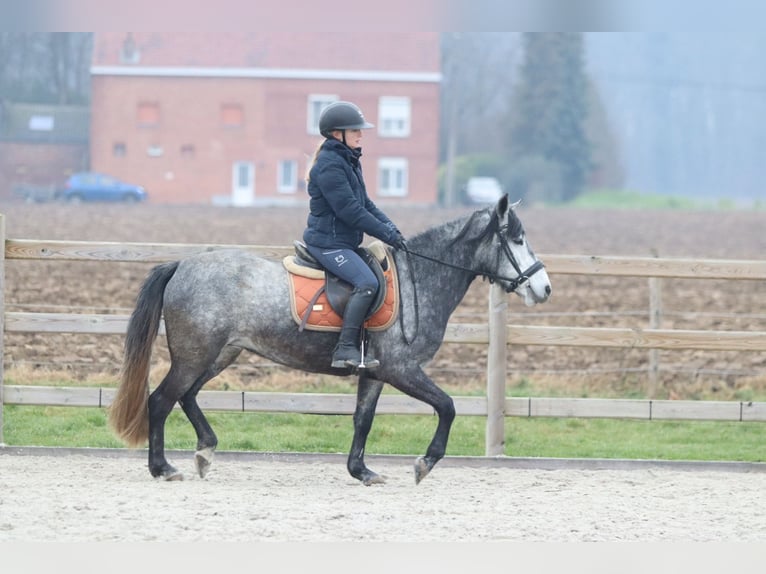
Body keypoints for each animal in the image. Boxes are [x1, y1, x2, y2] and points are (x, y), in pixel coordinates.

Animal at [108, 195, 552, 485]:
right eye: (516, 239)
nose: (544, 288)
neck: (420, 279)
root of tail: (182, 264)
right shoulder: (402, 369)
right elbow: (447, 406)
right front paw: (424, 463)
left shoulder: (375, 372)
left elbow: (363, 419)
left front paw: (362, 471)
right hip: (195, 355)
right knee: (161, 400)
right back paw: (163, 468)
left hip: (219, 355)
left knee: (186, 396)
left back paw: (204, 451)